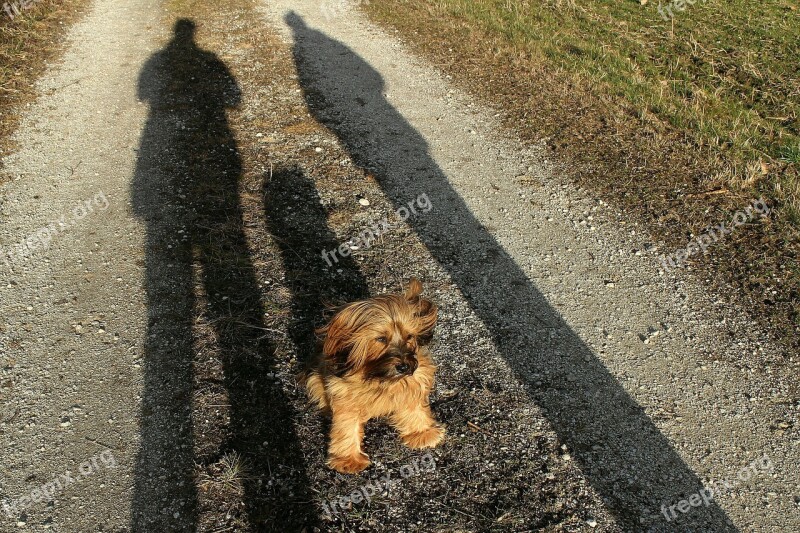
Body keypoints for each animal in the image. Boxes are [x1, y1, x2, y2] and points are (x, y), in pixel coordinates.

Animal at [304, 278, 444, 470]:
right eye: (381, 339)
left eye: (409, 336)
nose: (404, 367)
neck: (380, 376)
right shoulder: (344, 395)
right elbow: (346, 425)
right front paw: (349, 460)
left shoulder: (416, 378)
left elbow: (414, 405)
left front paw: (422, 433)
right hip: (314, 379)